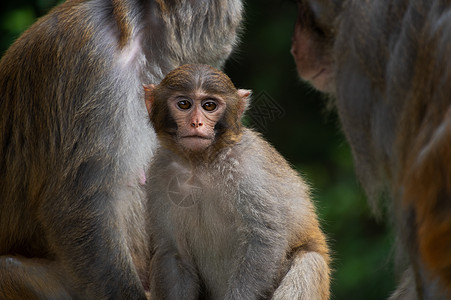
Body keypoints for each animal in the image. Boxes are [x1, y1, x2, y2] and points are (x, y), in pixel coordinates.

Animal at [146, 64, 332, 298]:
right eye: (184, 104)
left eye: (209, 105)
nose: (196, 123)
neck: (200, 163)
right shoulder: (160, 173)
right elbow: (173, 252)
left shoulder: (248, 167)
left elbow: (264, 239)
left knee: (309, 261)